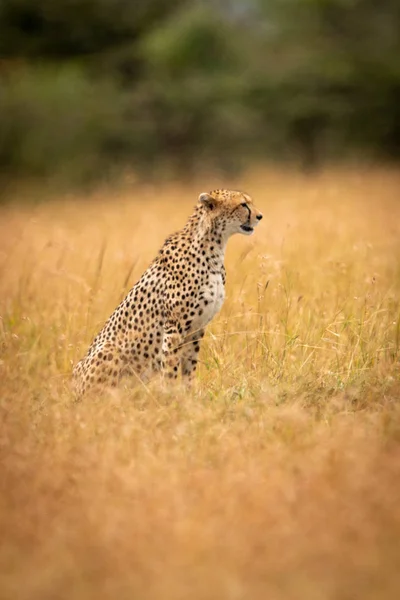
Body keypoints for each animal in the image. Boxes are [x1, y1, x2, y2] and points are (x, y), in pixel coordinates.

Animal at [72, 190, 262, 396]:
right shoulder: (174, 327)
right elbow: (170, 367)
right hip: (108, 350)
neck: (213, 248)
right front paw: (170, 396)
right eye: (243, 204)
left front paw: (189, 395)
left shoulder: (196, 329)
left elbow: (189, 368)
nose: (260, 216)